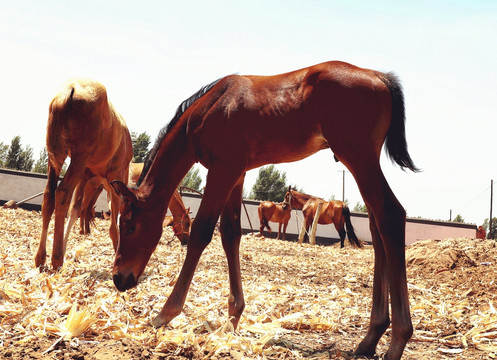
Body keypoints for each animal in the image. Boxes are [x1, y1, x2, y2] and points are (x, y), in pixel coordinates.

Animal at [34, 79, 134, 270]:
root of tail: (69, 90)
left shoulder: (85, 175)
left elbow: (76, 208)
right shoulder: (115, 176)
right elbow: (114, 222)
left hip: (56, 157)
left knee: (49, 195)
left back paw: (41, 257)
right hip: (79, 157)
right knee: (62, 192)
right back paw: (56, 259)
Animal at [110, 62, 416, 360]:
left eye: (129, 225)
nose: (118, 278)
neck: (208, 109)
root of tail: (380, 77)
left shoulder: (222, 170)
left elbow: (202, 232)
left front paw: (165, 313)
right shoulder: (237, 173)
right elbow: (230, 234)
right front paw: (233, 317)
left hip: (357, 156)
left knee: (391, 214)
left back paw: (397, 341)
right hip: (361, 161)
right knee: (377, 226)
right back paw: (371, 337)